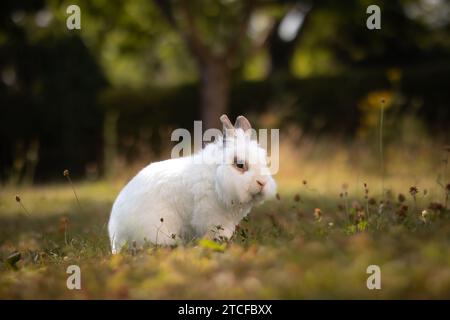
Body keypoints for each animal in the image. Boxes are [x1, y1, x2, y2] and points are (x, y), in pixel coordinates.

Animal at [109, 115, 278, 252]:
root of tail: (116, 236)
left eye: (264, 161)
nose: (262, 182)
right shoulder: (213, 217)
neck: (215, 178)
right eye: (240, 165)